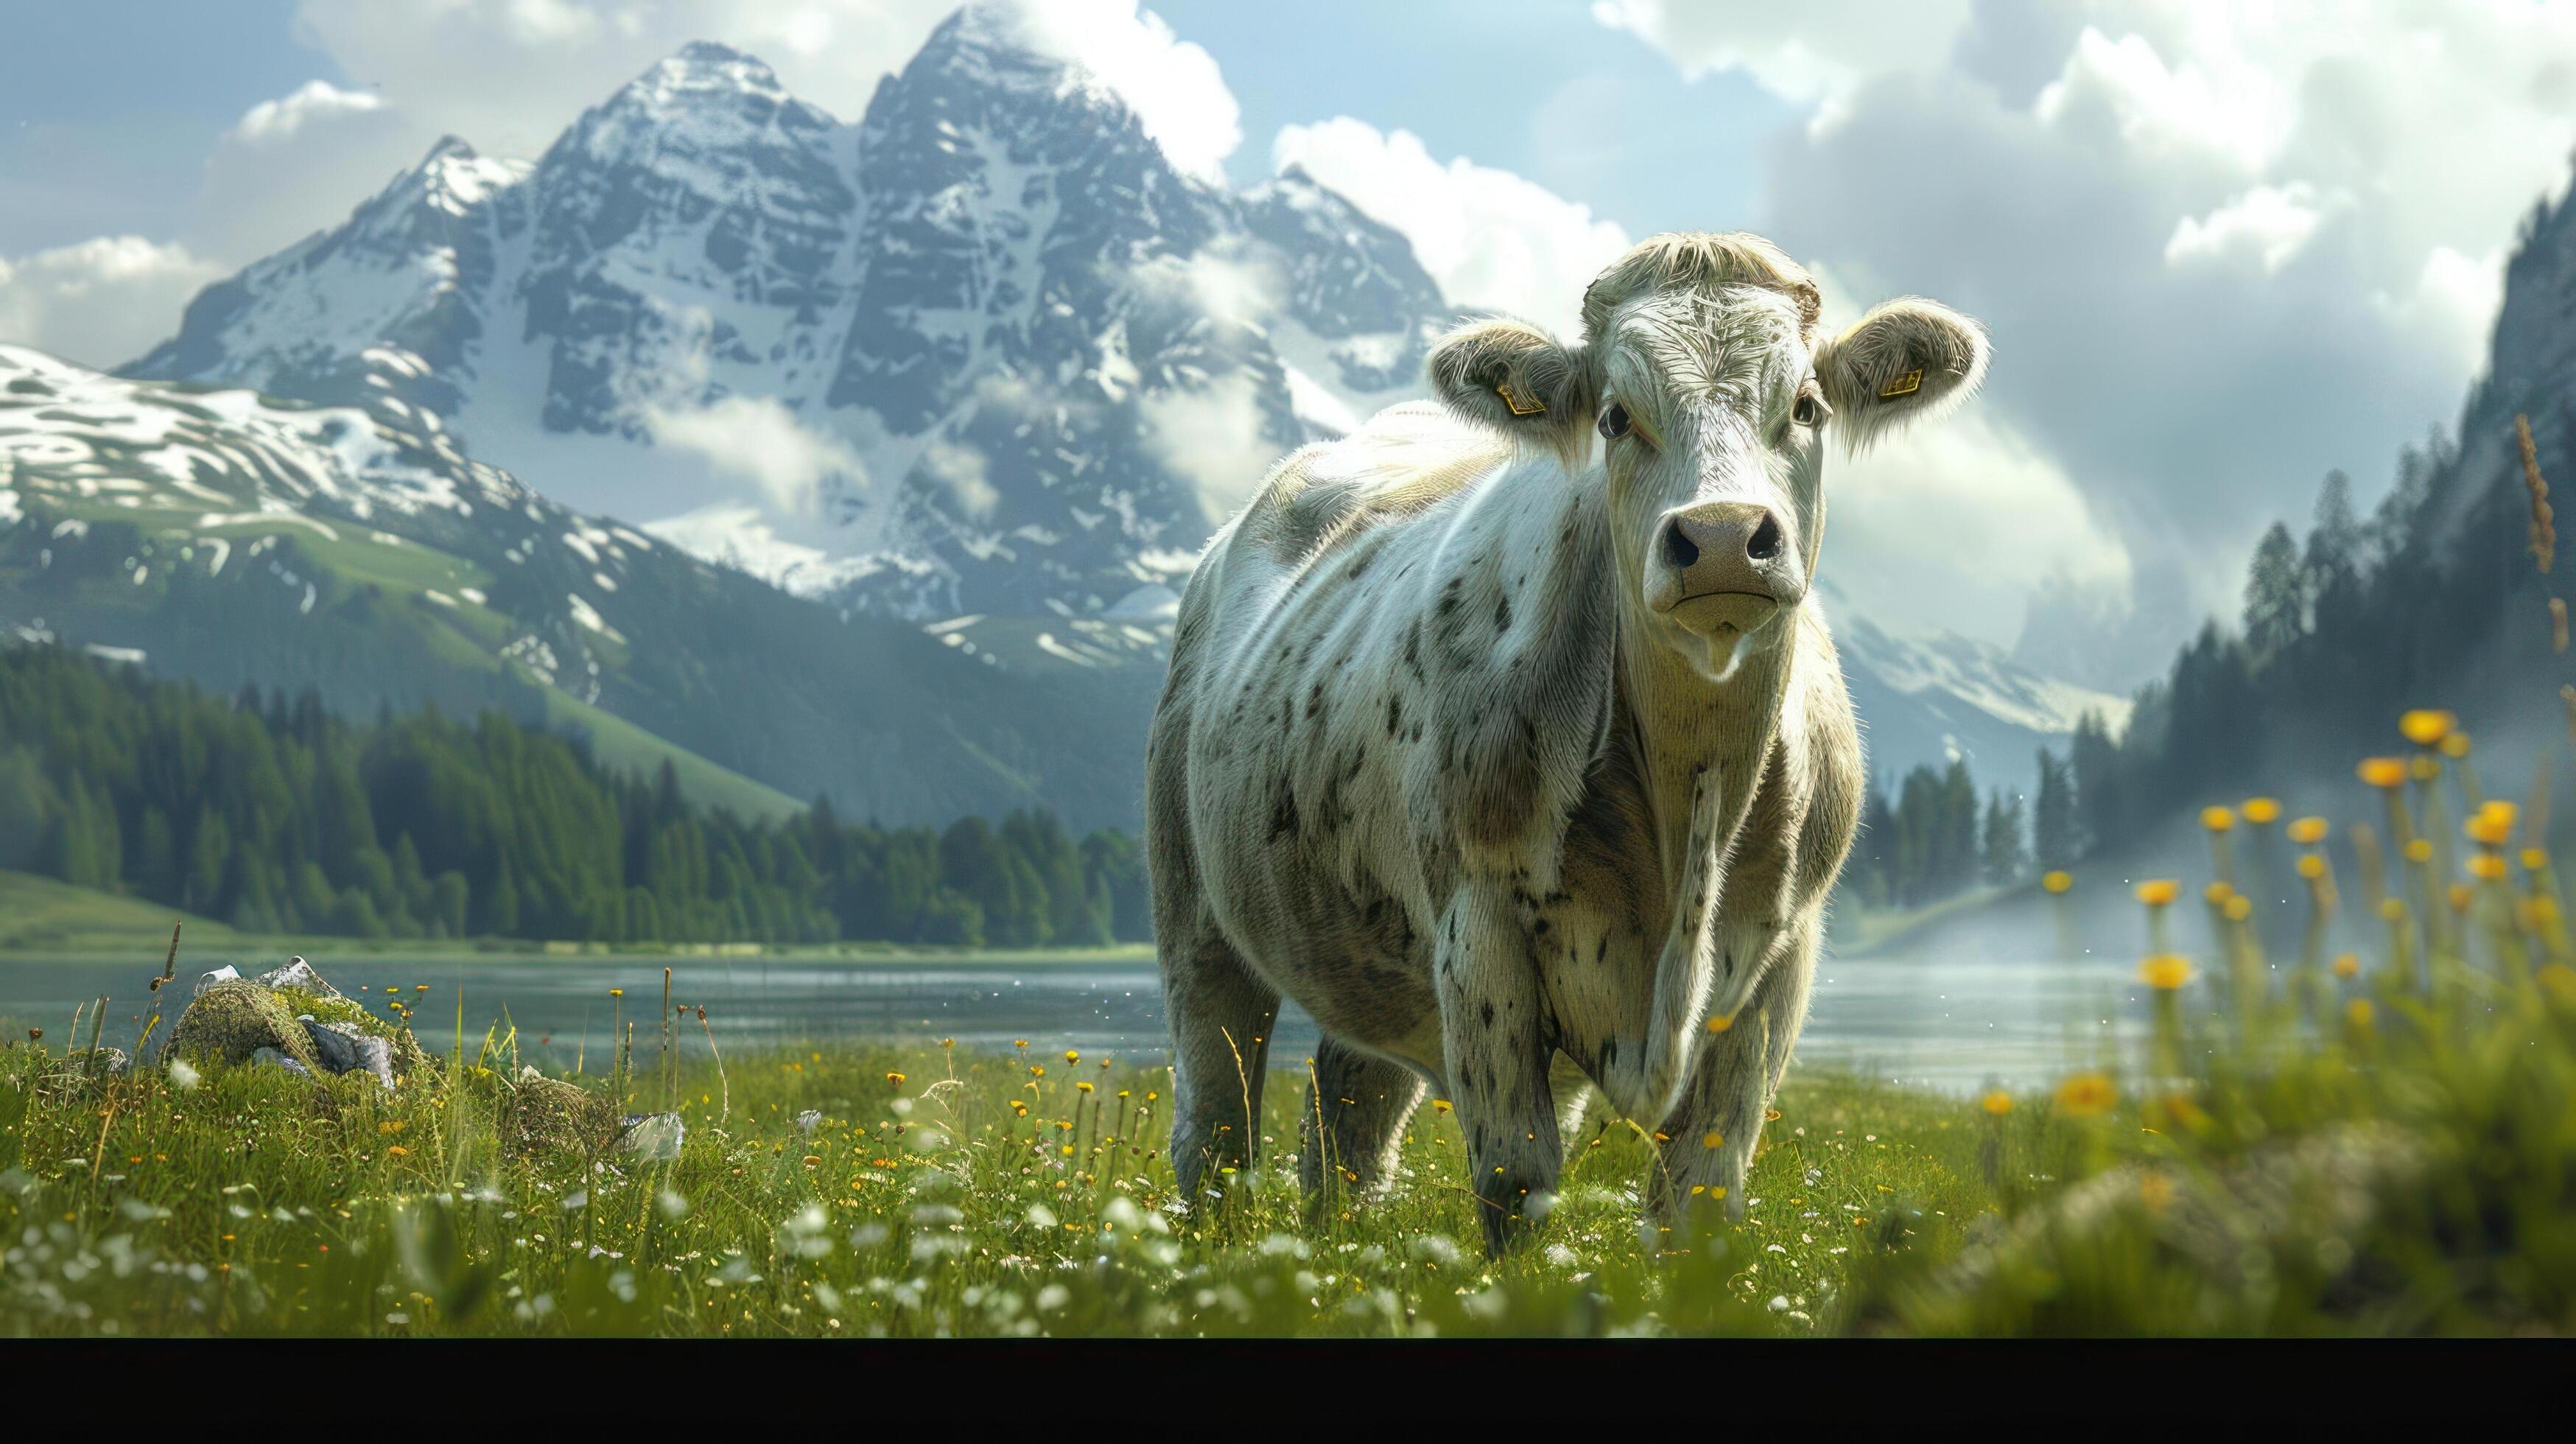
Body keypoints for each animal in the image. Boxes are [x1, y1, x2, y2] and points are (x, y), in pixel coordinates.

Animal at [1148, 228, 1988, 1253]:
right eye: (1617, 417)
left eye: (1805, 406)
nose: (1720, 538)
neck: (1690, 806)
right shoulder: (1478, 935)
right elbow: (1517, 1180)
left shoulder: (1781, 962)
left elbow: (1701, 1190)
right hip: (1195, 919)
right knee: (1215, 1130)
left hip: (1364, 952)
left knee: (1344, 1130)